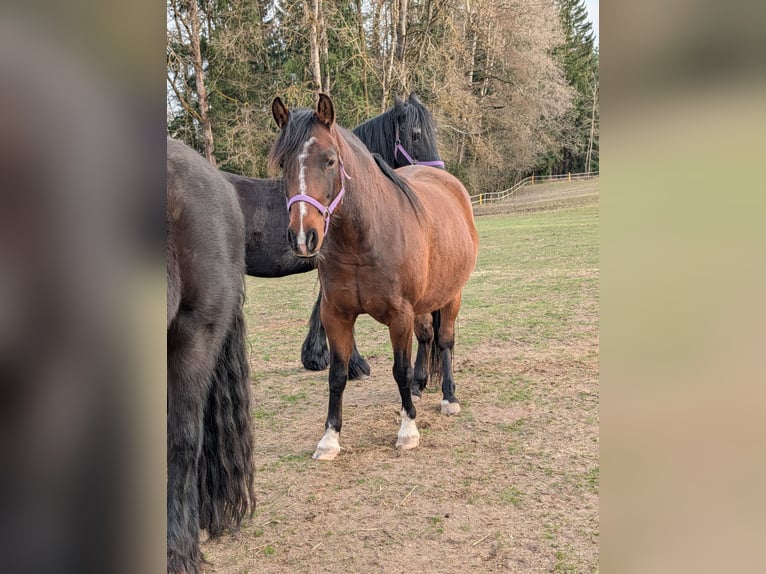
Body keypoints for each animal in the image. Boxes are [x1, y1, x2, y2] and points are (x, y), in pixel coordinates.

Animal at [269, 94, 478, 460]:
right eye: (283, 164)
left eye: (330, 161)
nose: (303, 237)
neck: (363, 240)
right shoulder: (336, 315)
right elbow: (337, 375)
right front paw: (330, 438)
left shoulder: (399, 315)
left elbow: (399, 369)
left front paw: (408, 430)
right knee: (427, 336)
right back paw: (421, 387)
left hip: (452, 295)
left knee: (444, 340)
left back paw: (449, 396)